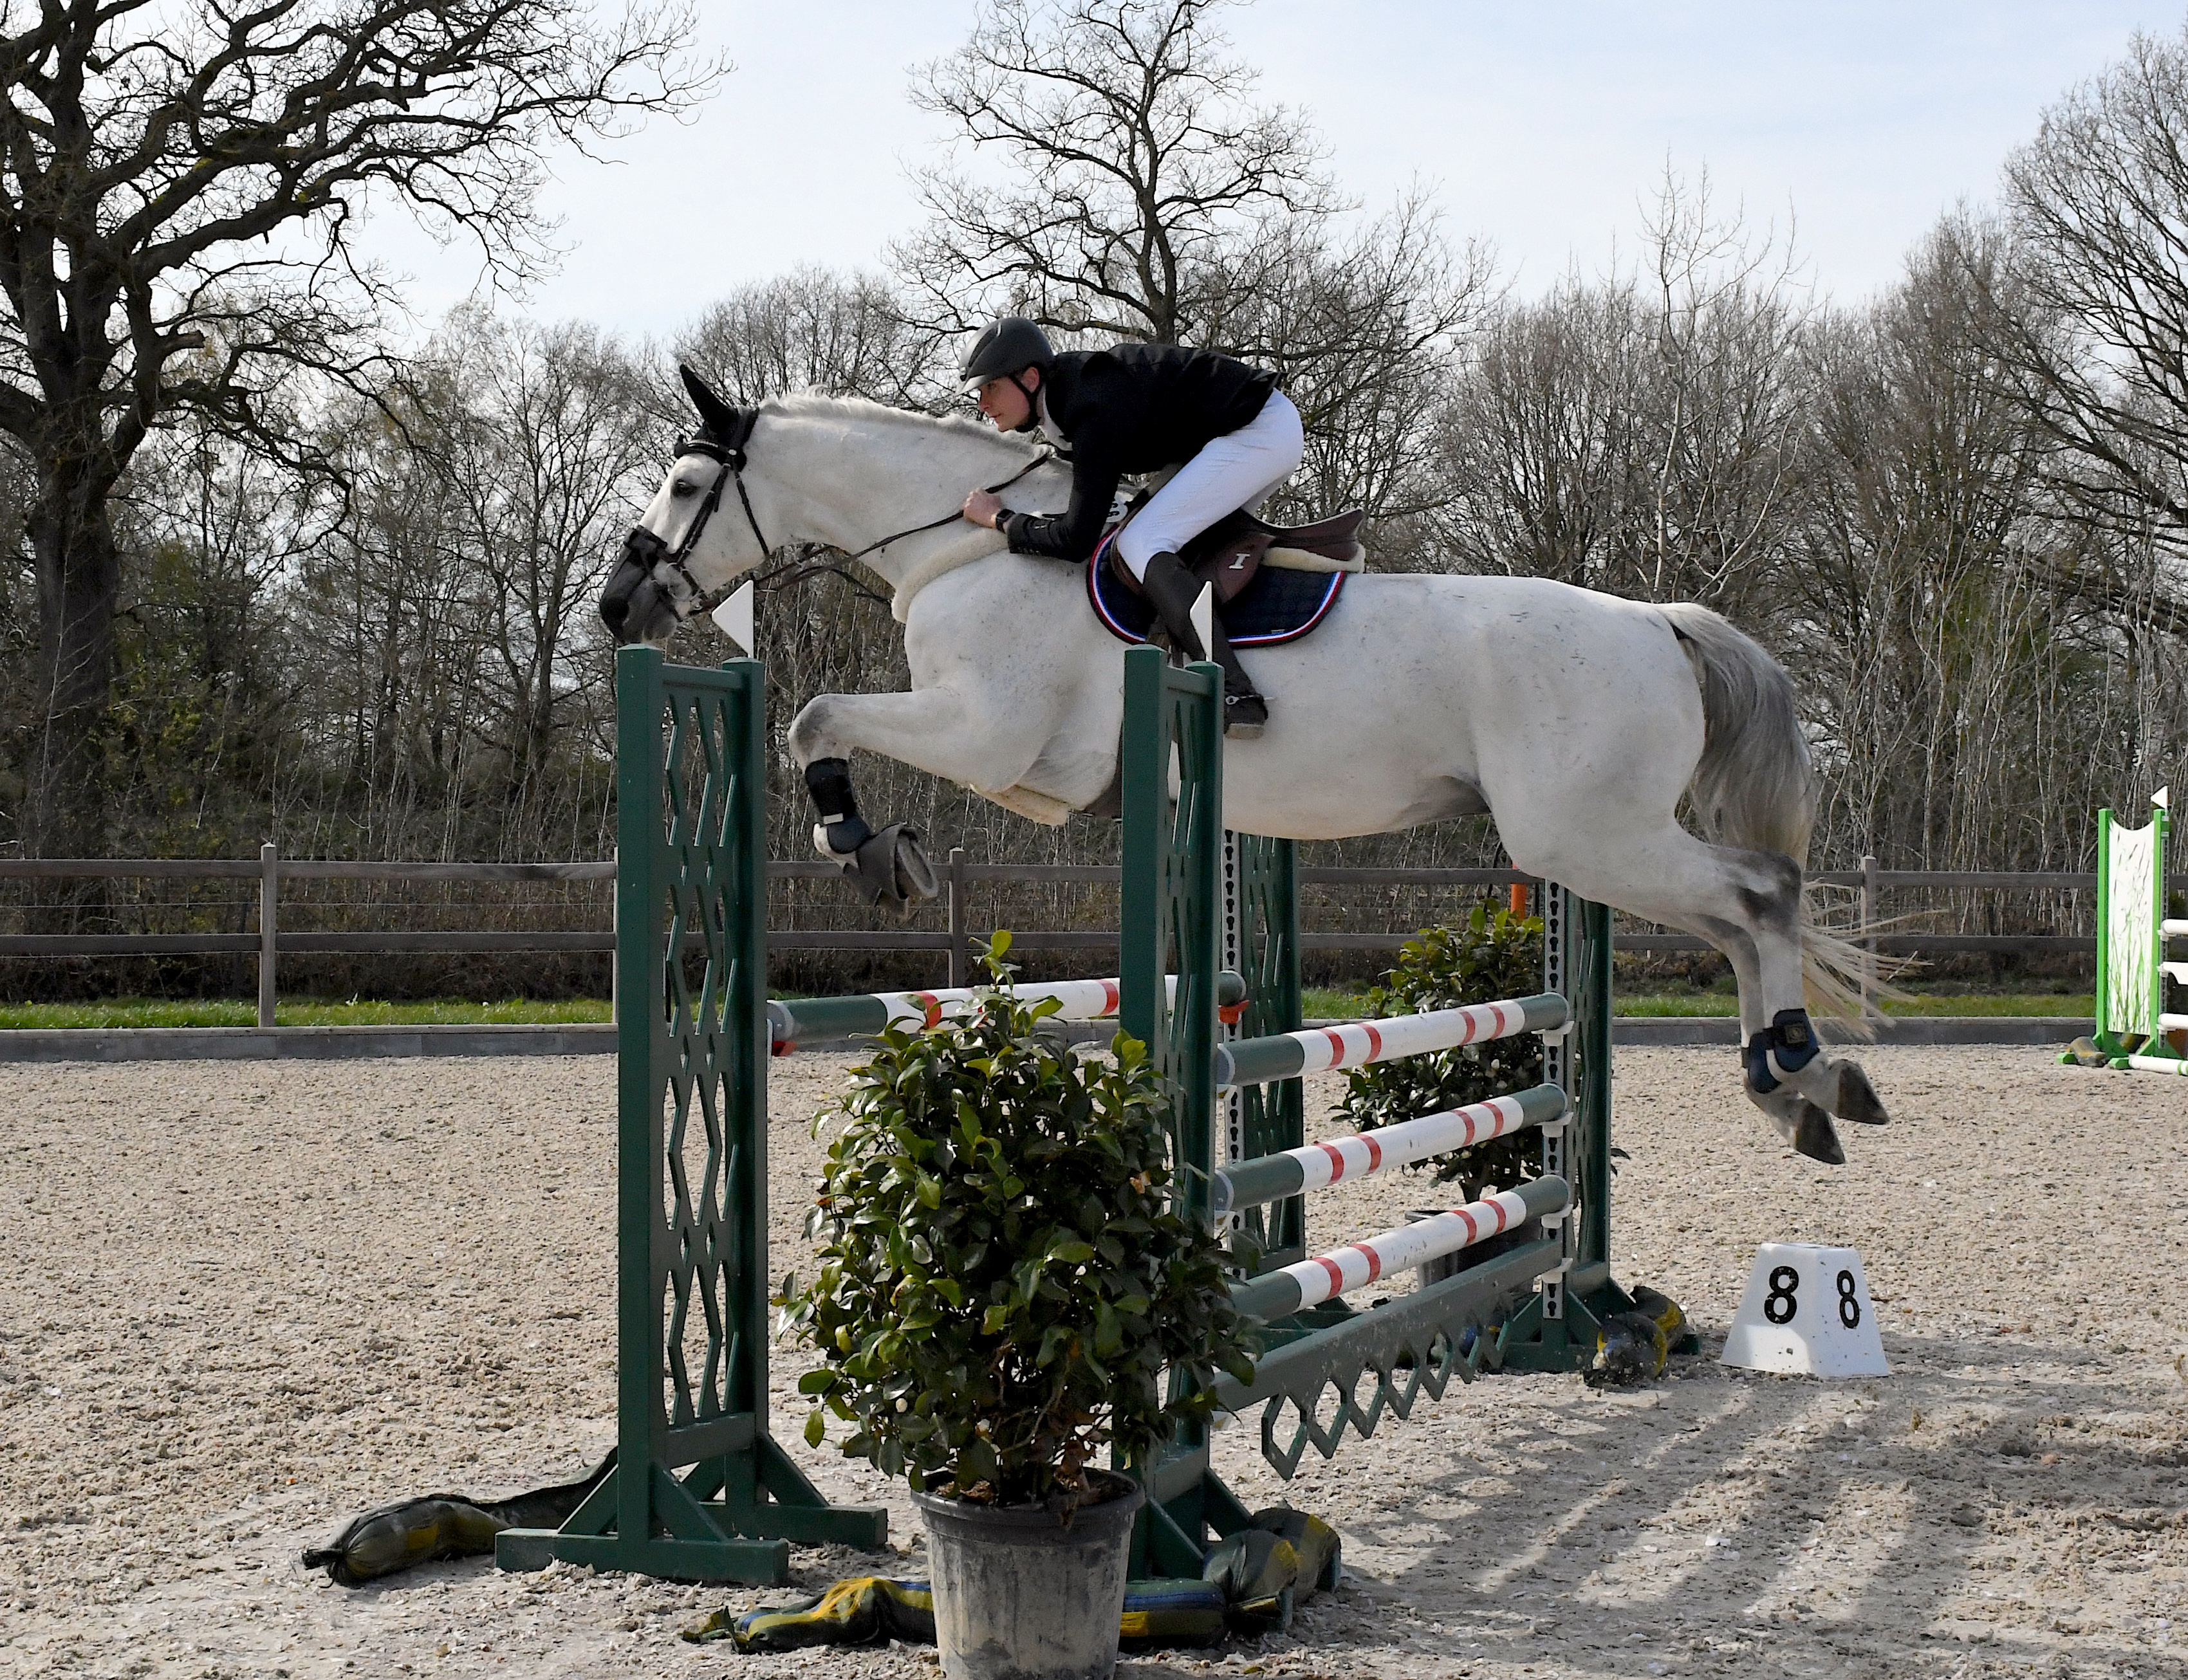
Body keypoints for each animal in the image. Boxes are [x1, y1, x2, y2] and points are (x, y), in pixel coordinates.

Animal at [598, 370, 1888, 1165]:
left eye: (684, 484)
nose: (621, 606)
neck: (964, 545)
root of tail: (1661, 622)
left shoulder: (984, 734)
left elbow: (813, 719)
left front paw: (867, 850)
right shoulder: (1017, 766)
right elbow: (823, 725)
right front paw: (885, 848)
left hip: (1584, 836)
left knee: (1761, 895)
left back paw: (1798, 1071)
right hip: (1602, 841)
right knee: (1741, 919)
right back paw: (1797, 1087)